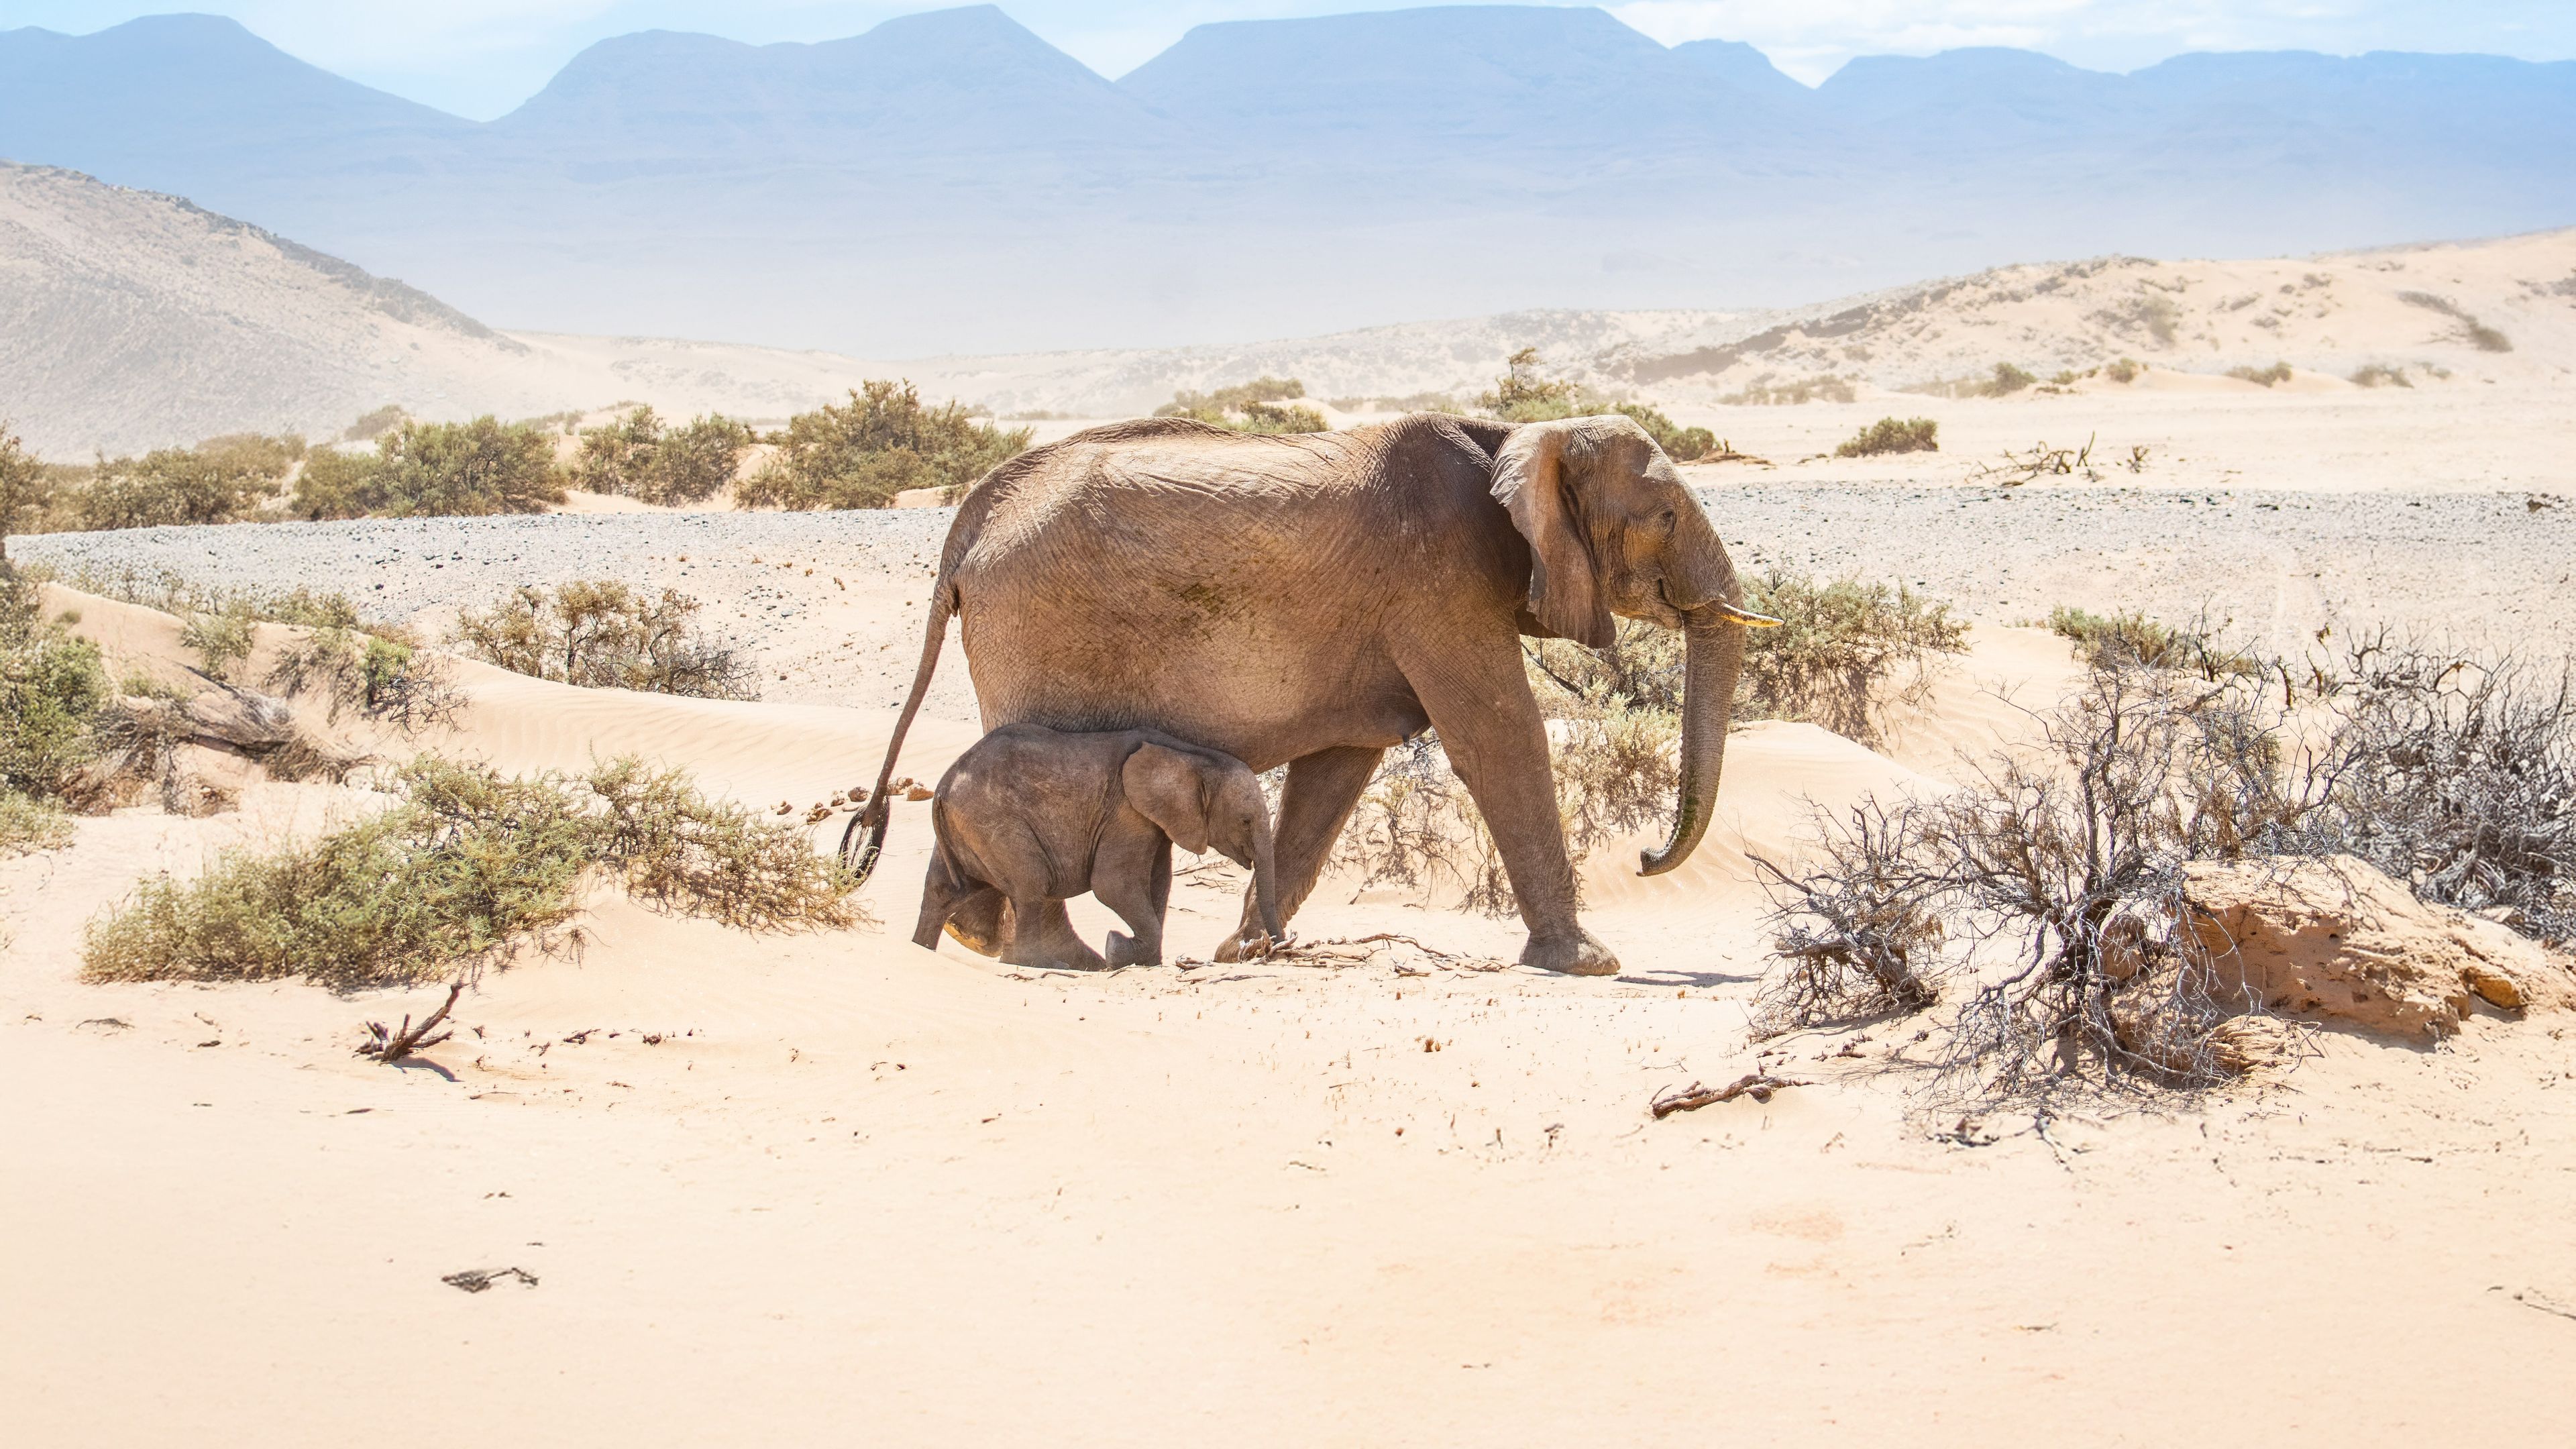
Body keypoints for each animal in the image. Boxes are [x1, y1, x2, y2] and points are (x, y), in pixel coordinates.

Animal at [915, 723, 1285, 970]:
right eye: (1246, 821)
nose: (1275, 946)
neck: (1191, 756)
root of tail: (943, 786)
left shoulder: (1153, 821)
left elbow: (1159, 883)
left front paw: (1140, 958)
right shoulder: (1126, 813)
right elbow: (1113, 885)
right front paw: (1118, 950)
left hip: (964, 828)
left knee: (941, 890)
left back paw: (920, 949)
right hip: (994, 824)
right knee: (1032, 885)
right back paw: (1045, 966)